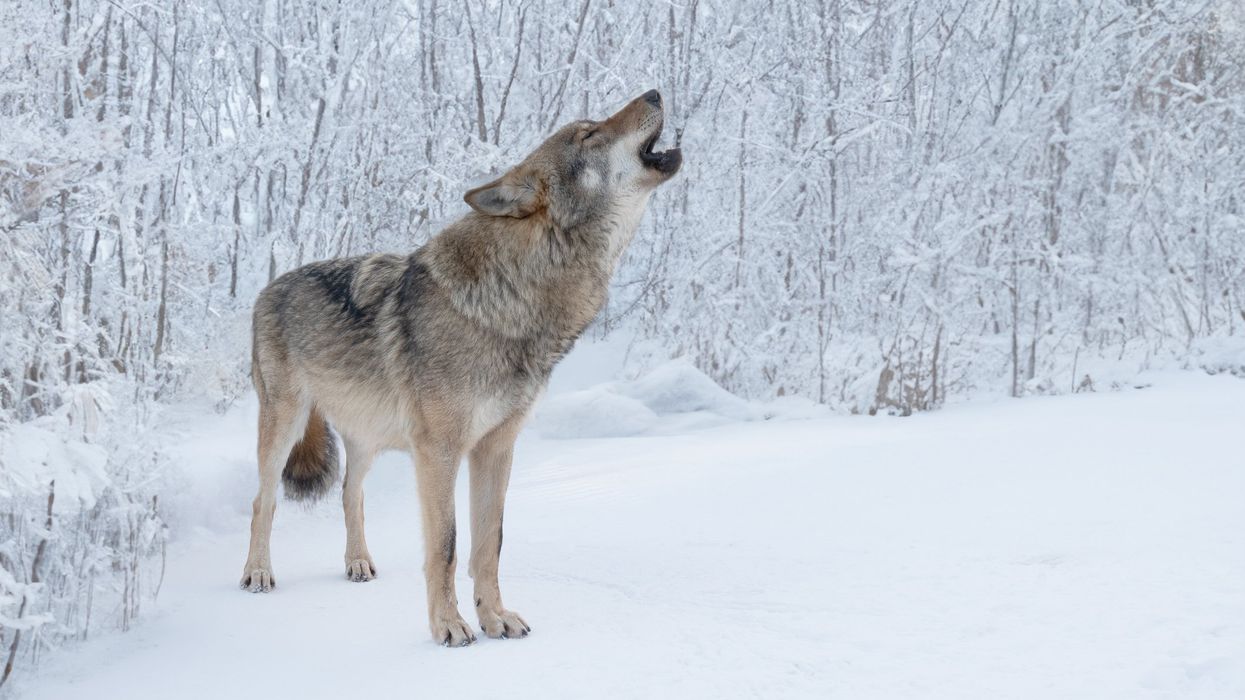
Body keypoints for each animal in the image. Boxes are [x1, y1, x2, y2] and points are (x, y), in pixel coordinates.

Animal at [240, 90, 681, 646]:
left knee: (349, 493)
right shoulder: (439, 453)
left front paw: (495, 618)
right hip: (285, 425)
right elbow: (446, 546)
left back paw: (358, 562)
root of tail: (270, 286)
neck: (514, 297)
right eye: (587, 134)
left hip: (365, 439)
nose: (655, 93)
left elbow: (489, 543)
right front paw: (449, 626)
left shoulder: (496, 448)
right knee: (263, 502)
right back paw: (258, 572)